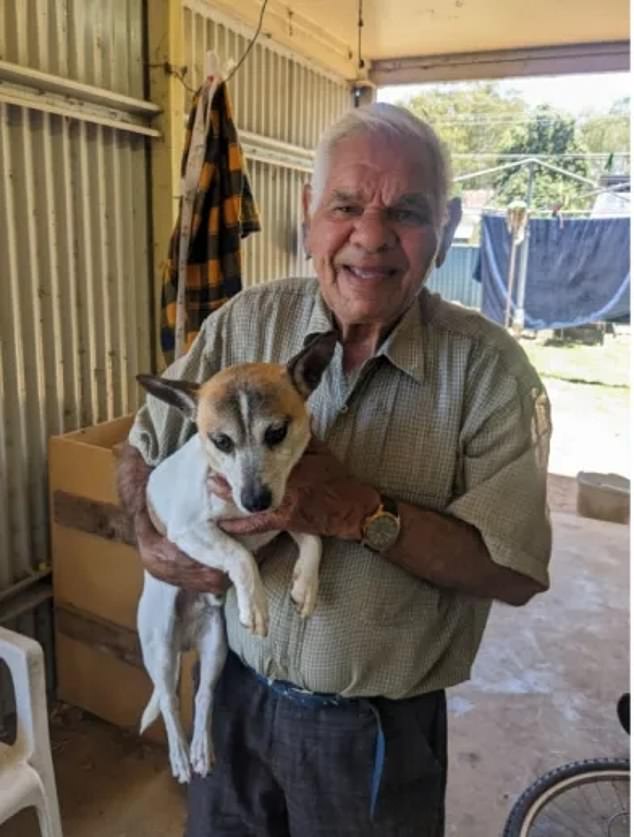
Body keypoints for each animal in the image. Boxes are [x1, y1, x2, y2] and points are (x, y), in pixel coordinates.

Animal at [136, 332, 336, 784]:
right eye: (221, 441)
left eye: (277, 432)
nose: (255, 500)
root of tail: (186, 639)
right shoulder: (189, 531)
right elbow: (239, 554)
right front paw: (255, 603)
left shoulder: (282, 515)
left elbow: (313, 539)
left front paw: (305, 584)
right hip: (159, 646)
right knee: (169, 702)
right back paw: (179, 757)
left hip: (215, 648)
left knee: (204, 697)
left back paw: (201, 750)